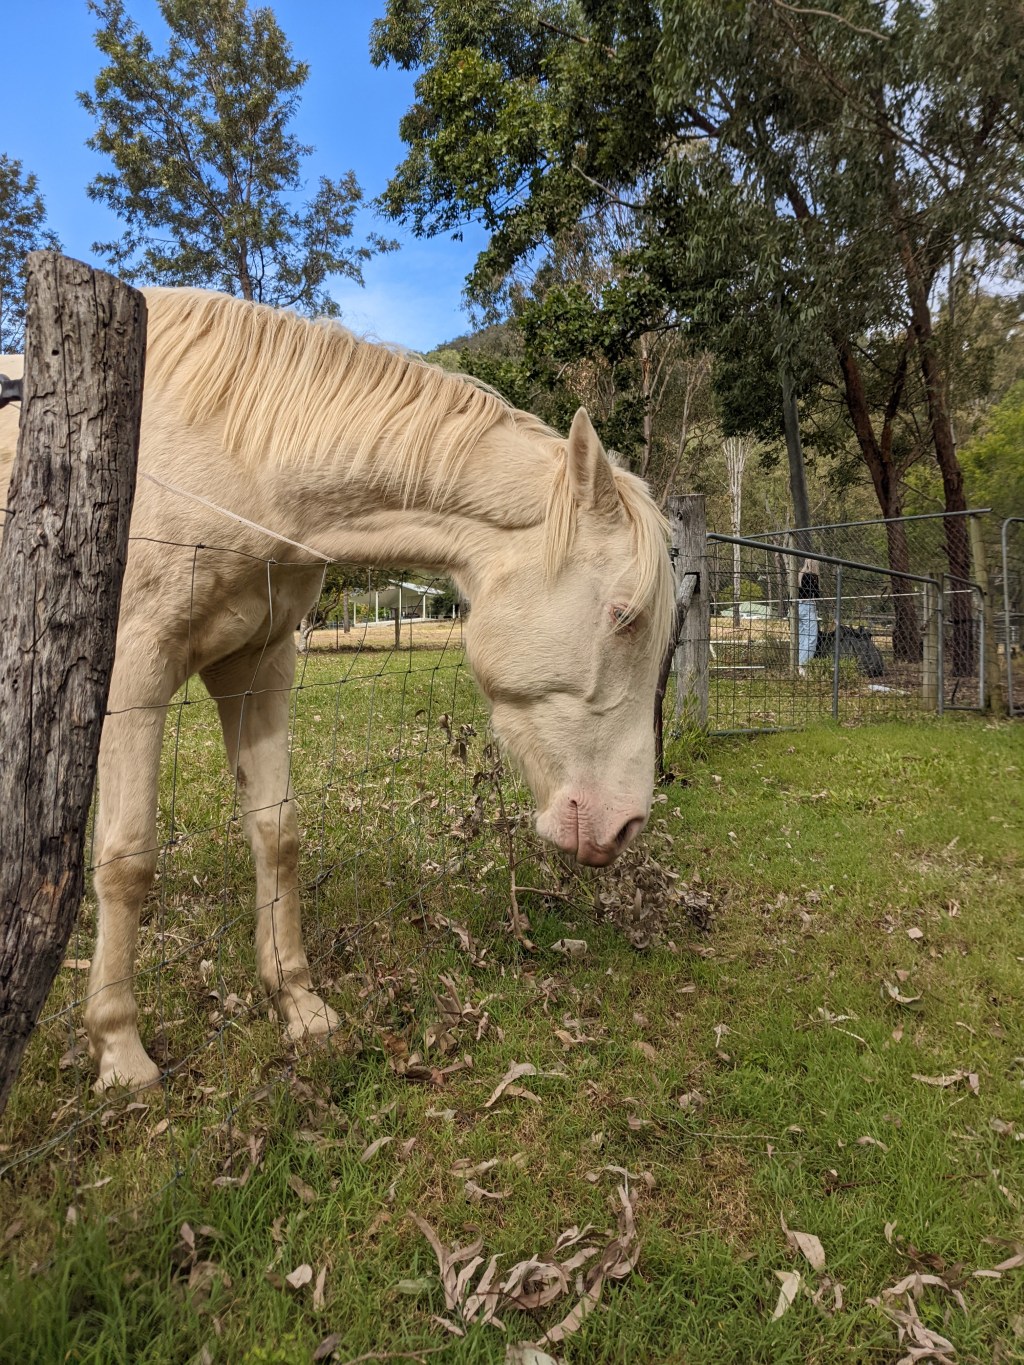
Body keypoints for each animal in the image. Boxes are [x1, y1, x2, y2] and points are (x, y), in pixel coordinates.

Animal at [0, 288, 674, 1092]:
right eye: (624, 615)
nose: (626, 826)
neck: (239, 457)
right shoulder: (135, 669)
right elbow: (127, 858)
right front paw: (120, 1050)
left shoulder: (257, 667)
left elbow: (277, 834)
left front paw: (298, 1003)